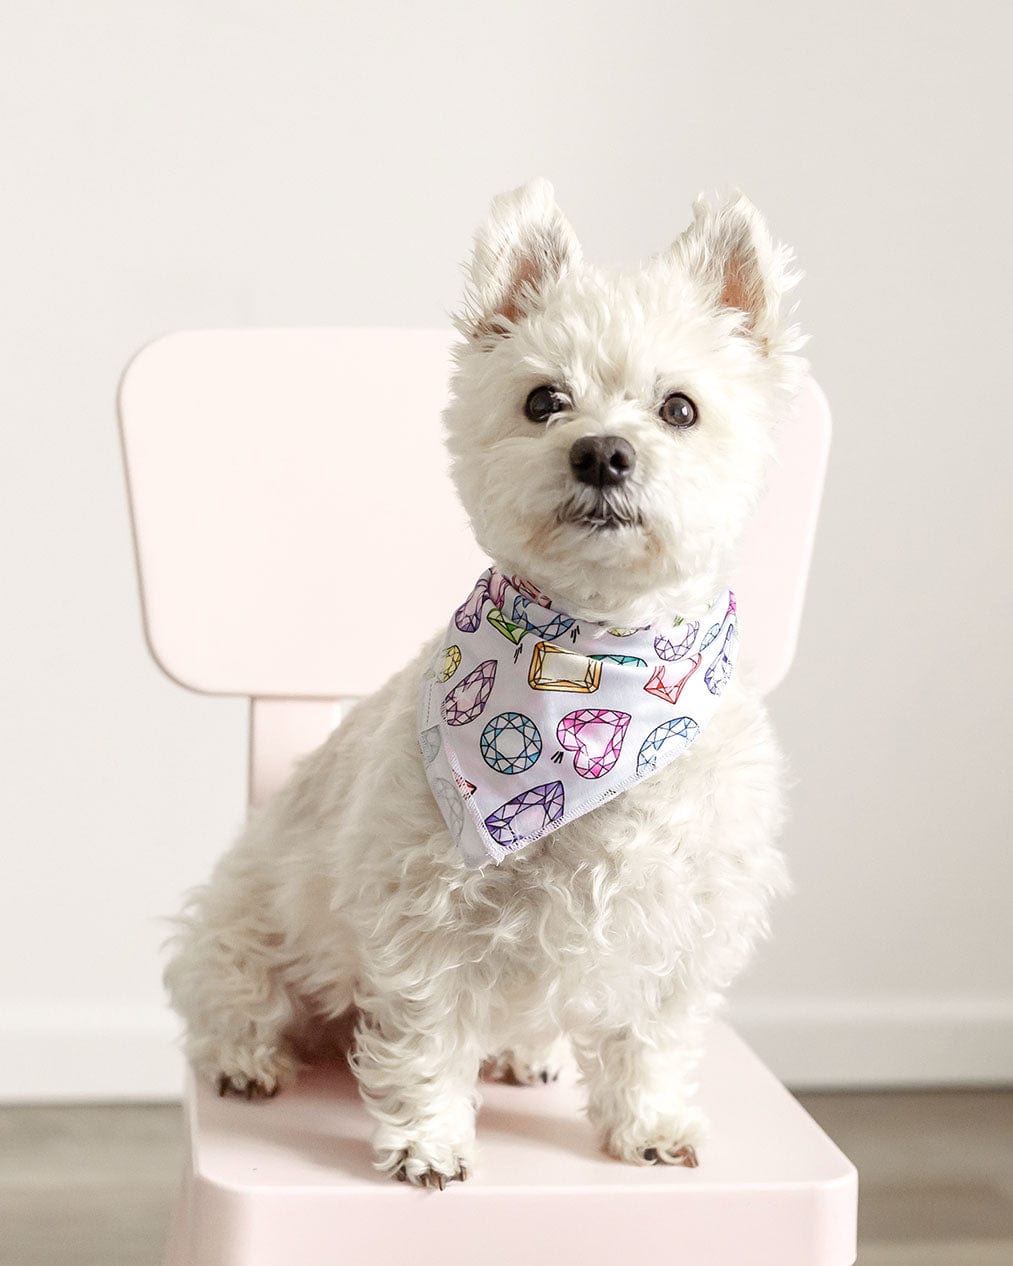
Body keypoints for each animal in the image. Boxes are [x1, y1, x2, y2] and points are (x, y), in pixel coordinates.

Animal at [165, 178, 805, 1184]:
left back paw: (525, 1053)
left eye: (680, 409)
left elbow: (651, 1040)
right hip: (248, 924)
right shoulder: (426, 913)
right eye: (544, 400)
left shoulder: (681, 922)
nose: (601, 453)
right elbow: (427, 1038)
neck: (596, 654)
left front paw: (650, 1124)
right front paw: (426, 1142)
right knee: (229, 992)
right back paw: (245, 1060)